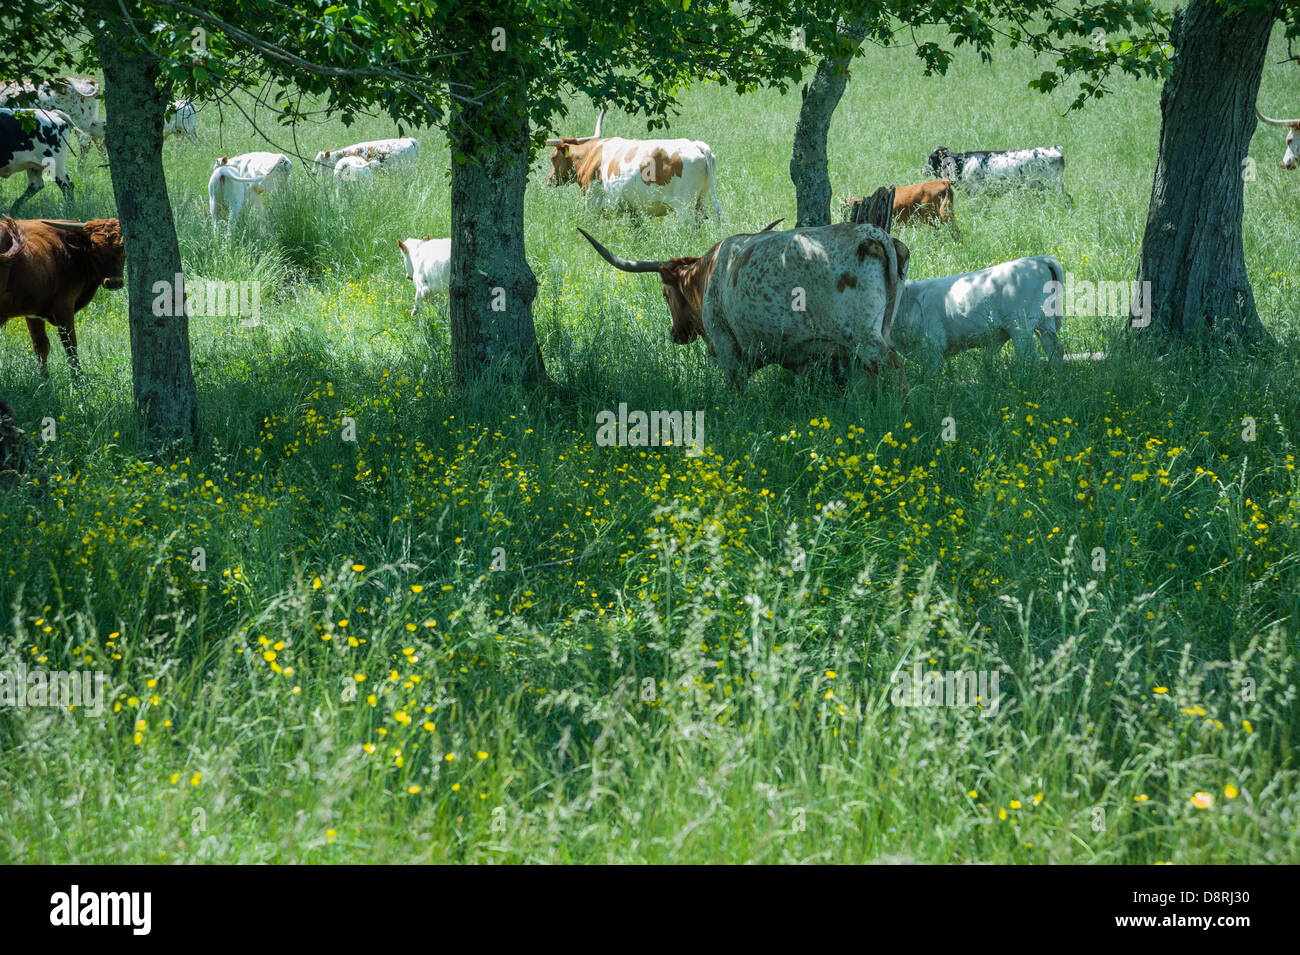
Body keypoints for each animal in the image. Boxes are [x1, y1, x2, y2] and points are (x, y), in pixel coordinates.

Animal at [0, 218, 124, 371]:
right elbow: (71, 348)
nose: (115, 282)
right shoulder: (64, 307)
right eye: (95, 248)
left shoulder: (32, 313)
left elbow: (41, 348)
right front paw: (78, 377)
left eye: (123, 246)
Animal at [894, 255, 1066, 371]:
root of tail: (1037, 259)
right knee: (1055, 351)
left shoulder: (934, 345)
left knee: (1031, 357)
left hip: (1021, 328)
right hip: (1045, 324)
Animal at [930, 145, 1071, 201]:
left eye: (931, 159)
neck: (963, 163)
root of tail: (1056, 149)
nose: (925, 169)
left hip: (1054, 185)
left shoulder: (977, 193)